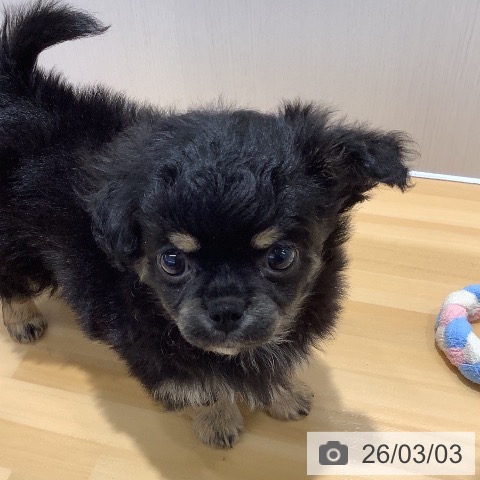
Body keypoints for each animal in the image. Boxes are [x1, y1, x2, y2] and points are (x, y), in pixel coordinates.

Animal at [0, 1, 412, 448]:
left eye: (280, 256)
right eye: (172, 262)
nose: (225, 310)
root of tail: (17, 87)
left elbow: (272, 362)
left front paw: (285, 395)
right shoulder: (159, 353)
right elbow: (202, 385)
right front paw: (218, 422)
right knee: (10, 282)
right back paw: (22, 319)